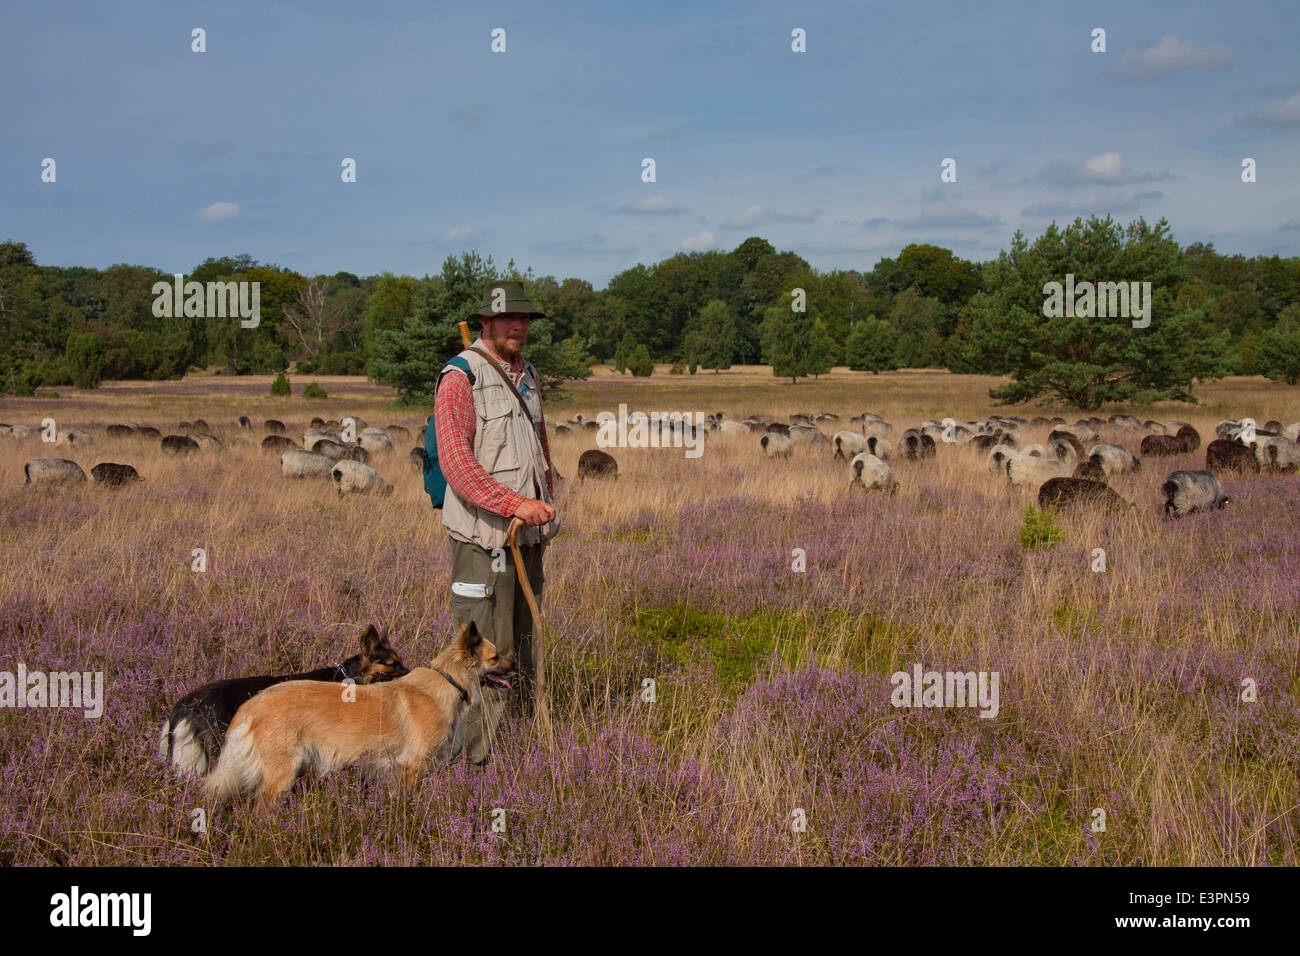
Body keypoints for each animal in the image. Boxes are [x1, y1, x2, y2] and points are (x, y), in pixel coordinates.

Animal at [202, 621, 512, 806]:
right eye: (495, 657)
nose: (517, 665)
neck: (448, 680)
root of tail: (252, 704)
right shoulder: (412, 767)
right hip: (281, 777)